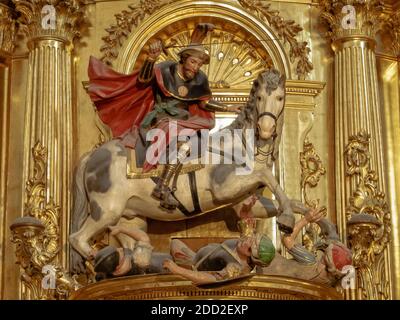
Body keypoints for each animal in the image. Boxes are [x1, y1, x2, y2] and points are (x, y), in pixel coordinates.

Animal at [69, 68, 308, 272]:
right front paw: (287, 219)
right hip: (105, 210)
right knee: (77, 239)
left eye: (280, 97)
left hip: (129, 217)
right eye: (259, 98)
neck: (239, 146)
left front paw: (303, 217)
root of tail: (93, 156)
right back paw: (96, 260)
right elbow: (265, 175)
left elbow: (293, 202)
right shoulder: (224, 188)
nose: (265, 130)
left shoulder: (244, 203)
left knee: (130, 248)